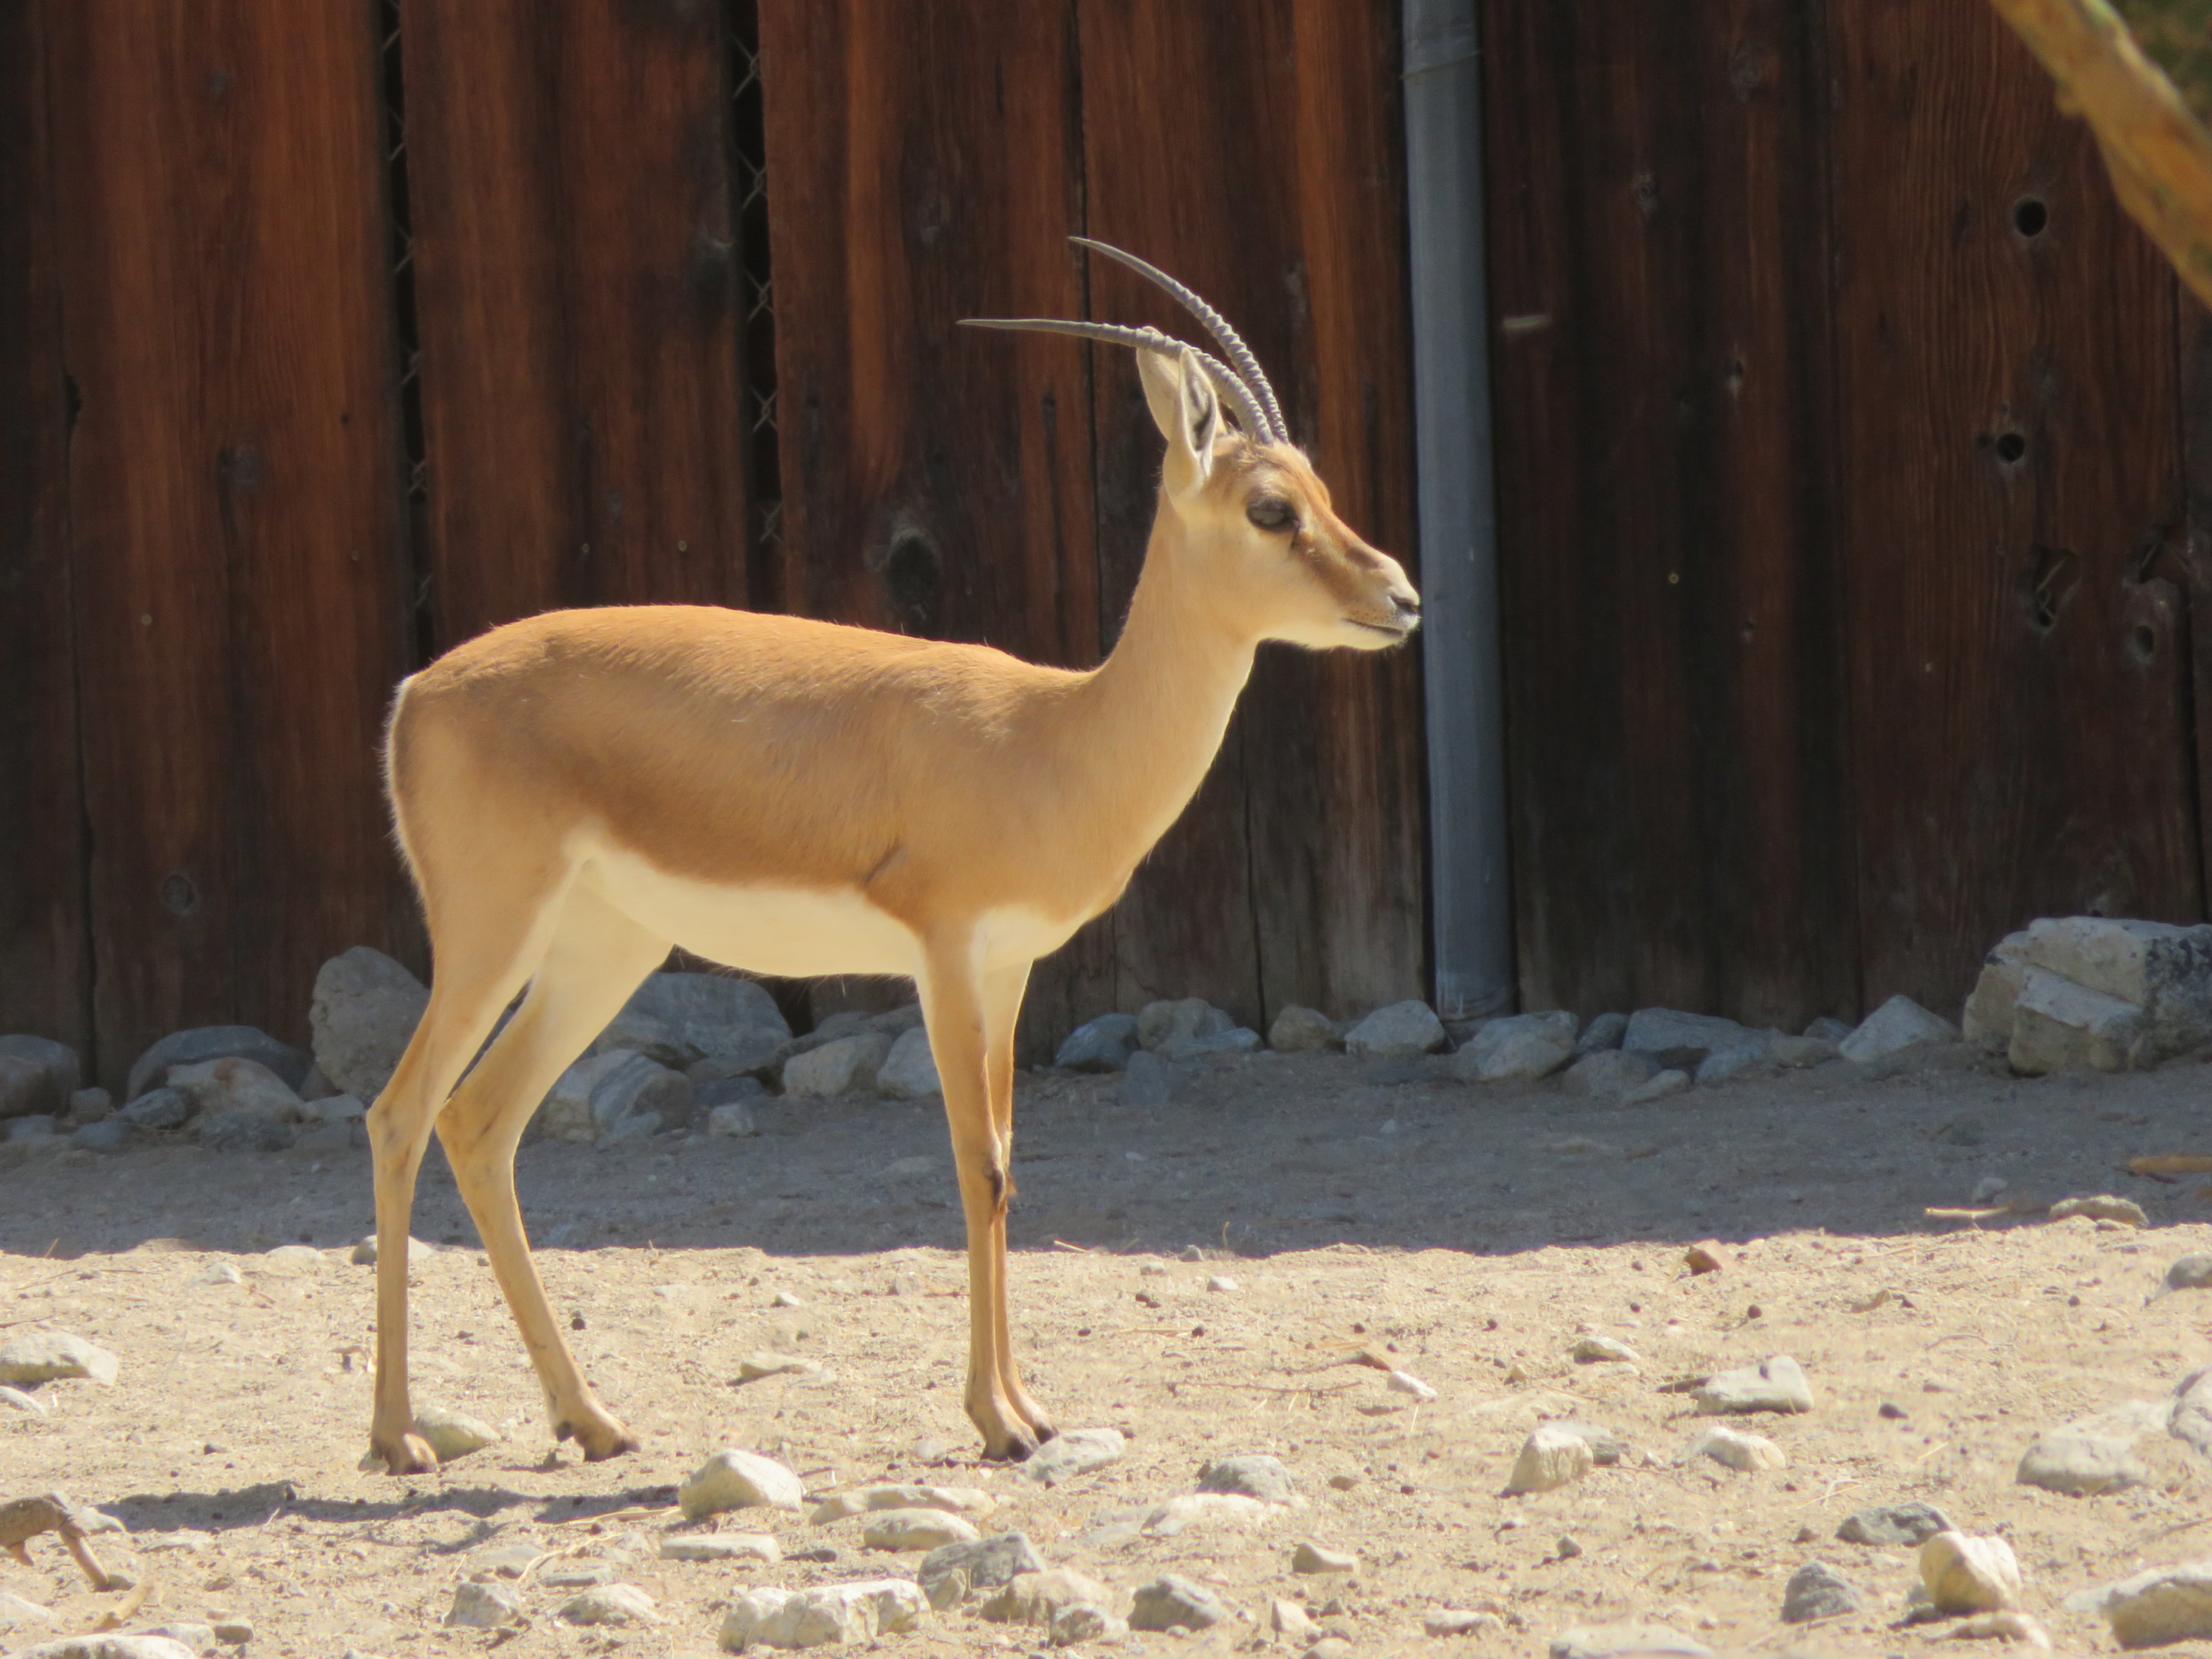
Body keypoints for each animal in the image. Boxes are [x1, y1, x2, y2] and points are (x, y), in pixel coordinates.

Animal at [363, 239, 1420, 1474]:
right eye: (1269, 508)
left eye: (1322, 493)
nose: (1400, 598)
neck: (1051, 738)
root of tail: (417, 694)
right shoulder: (945, 955)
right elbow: (977, 1165)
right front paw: (997, 1423)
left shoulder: (1009, 971)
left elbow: (1009, 1165)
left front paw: (1029, 1407)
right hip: (492, 934)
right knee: (400, 1114)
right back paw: (398, 1439)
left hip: (601, 952)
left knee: (480, 1125)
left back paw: (593, 1421)